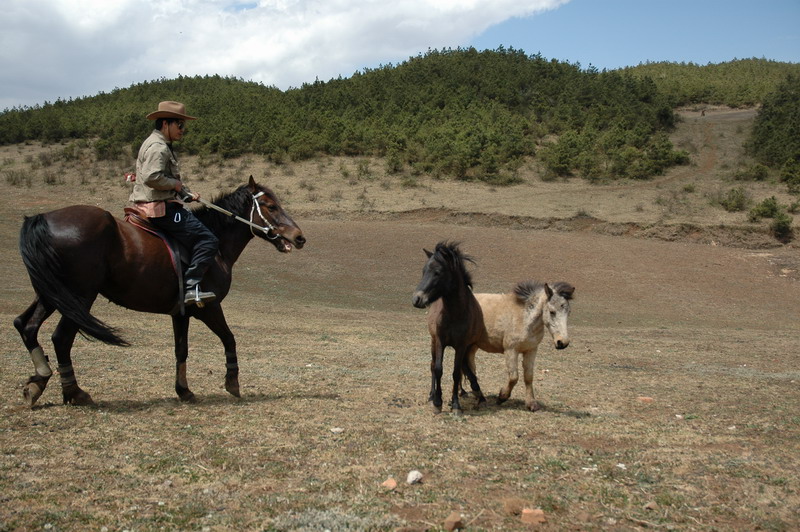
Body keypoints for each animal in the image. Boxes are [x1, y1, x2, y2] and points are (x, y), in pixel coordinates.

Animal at [14, 177, 304, 406]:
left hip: (52, 295)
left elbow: (181, 350)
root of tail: (42, 218)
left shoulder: (181, 313)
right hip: (80, 297)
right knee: (61, 338)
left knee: (26, 325)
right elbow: (229, 338)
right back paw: (75, 392)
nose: (299, 237)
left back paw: (37, 382)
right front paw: (232, 382)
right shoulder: (209, 307)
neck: (217, 245)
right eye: (271, 206)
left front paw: (184, 391)